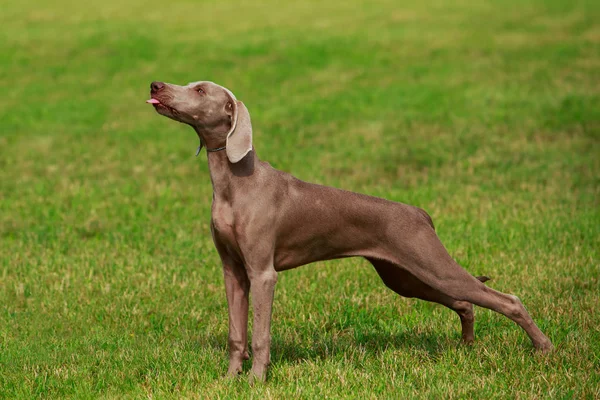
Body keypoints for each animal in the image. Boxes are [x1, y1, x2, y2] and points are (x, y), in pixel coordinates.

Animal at [145, 80, 552, 382]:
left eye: (200, 90)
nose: (156, 84)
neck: (234, 182)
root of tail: (420, 213)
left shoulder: (262, 273)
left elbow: (260, 335)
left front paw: (256, 381)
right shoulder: (233, 271)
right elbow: (236, 333)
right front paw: (230, 380)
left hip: (430, 265)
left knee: (507, 300)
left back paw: (544, 349)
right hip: (405, 277)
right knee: (465, 302)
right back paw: (466, 346)